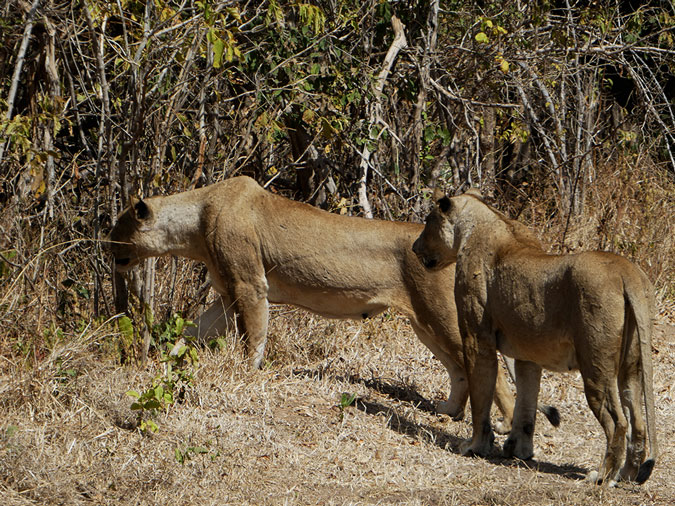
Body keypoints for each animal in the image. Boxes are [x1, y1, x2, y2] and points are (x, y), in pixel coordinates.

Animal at [107, 177, 560, 430]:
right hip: (424, 323)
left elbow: (253, 339)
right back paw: (447, 411)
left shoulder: (250, 286)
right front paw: (162, 360)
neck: (193, 225)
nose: (107, 249)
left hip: (442, 315)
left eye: (117, 229)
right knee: (459, 368)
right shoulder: (225, 294)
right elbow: (191, 332)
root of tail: (450, 250)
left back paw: (503, 423)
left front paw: (246, 376)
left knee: (486, 368)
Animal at [412, 191, 660, 486]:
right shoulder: (527, 353)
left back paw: (602, 477)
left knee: (618, 422)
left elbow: (481, 397)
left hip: (596, 366)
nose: (414, 247)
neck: (482, 222)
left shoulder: (476, 339)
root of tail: (626, 271)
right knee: (638, 422)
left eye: (429, 221)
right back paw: (627, 475)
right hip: (631, 366)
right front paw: (518, 450)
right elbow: (526, 404)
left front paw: (475, 447)